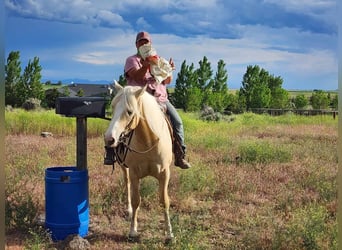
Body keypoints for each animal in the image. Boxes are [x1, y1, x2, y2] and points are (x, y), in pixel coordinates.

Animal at [103, 82, 174, 240]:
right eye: (113, 107)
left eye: (129, 112)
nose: (109, 139)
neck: (148, 141)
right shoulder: (134, 173)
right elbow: (136, 200)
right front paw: (133, 230)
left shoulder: (165, 174)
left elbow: (164, 201)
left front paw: (169, 233)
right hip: (124, 168)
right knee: (127, 183)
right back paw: (129, 210)